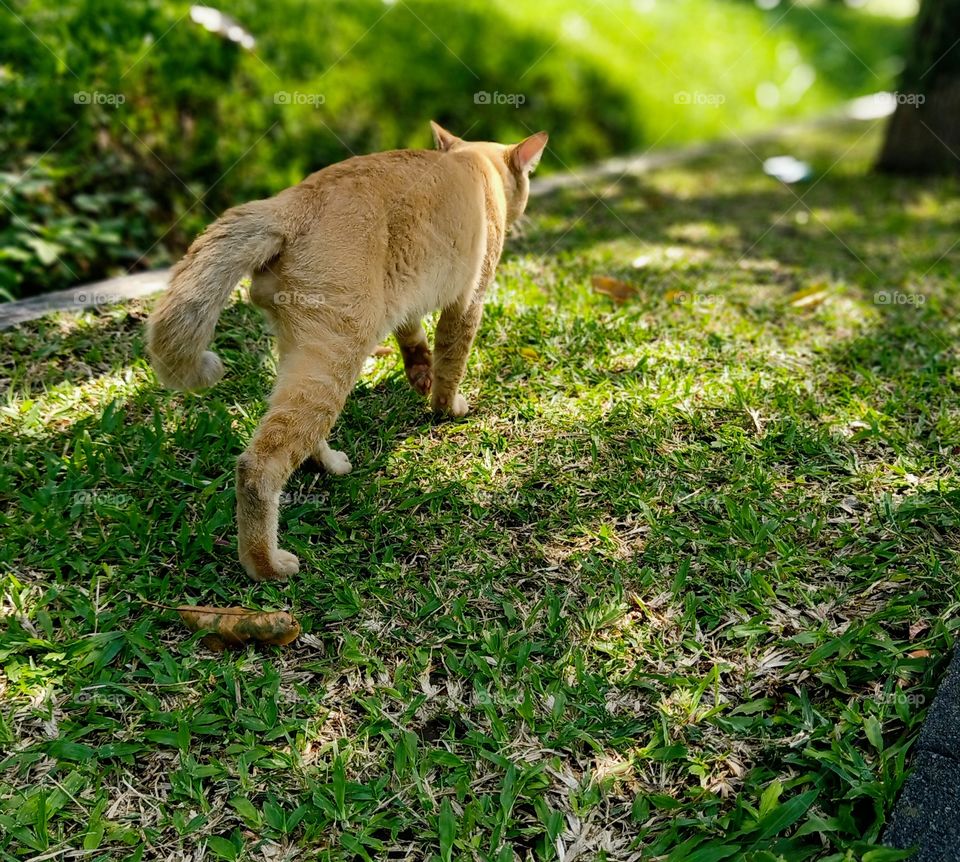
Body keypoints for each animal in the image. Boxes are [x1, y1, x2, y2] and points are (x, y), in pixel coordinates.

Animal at [144, 120, 548, 580]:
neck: (472, 163)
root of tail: (287, 203)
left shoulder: (405, 299)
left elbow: (414, 339)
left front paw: (420, 375)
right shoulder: (467, 303)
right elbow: (452, 363)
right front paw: (447, 406)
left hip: (303, 351)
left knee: (300, 431)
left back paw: (330, 463)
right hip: (339, 351)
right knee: (258, 466)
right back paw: (267, 565)